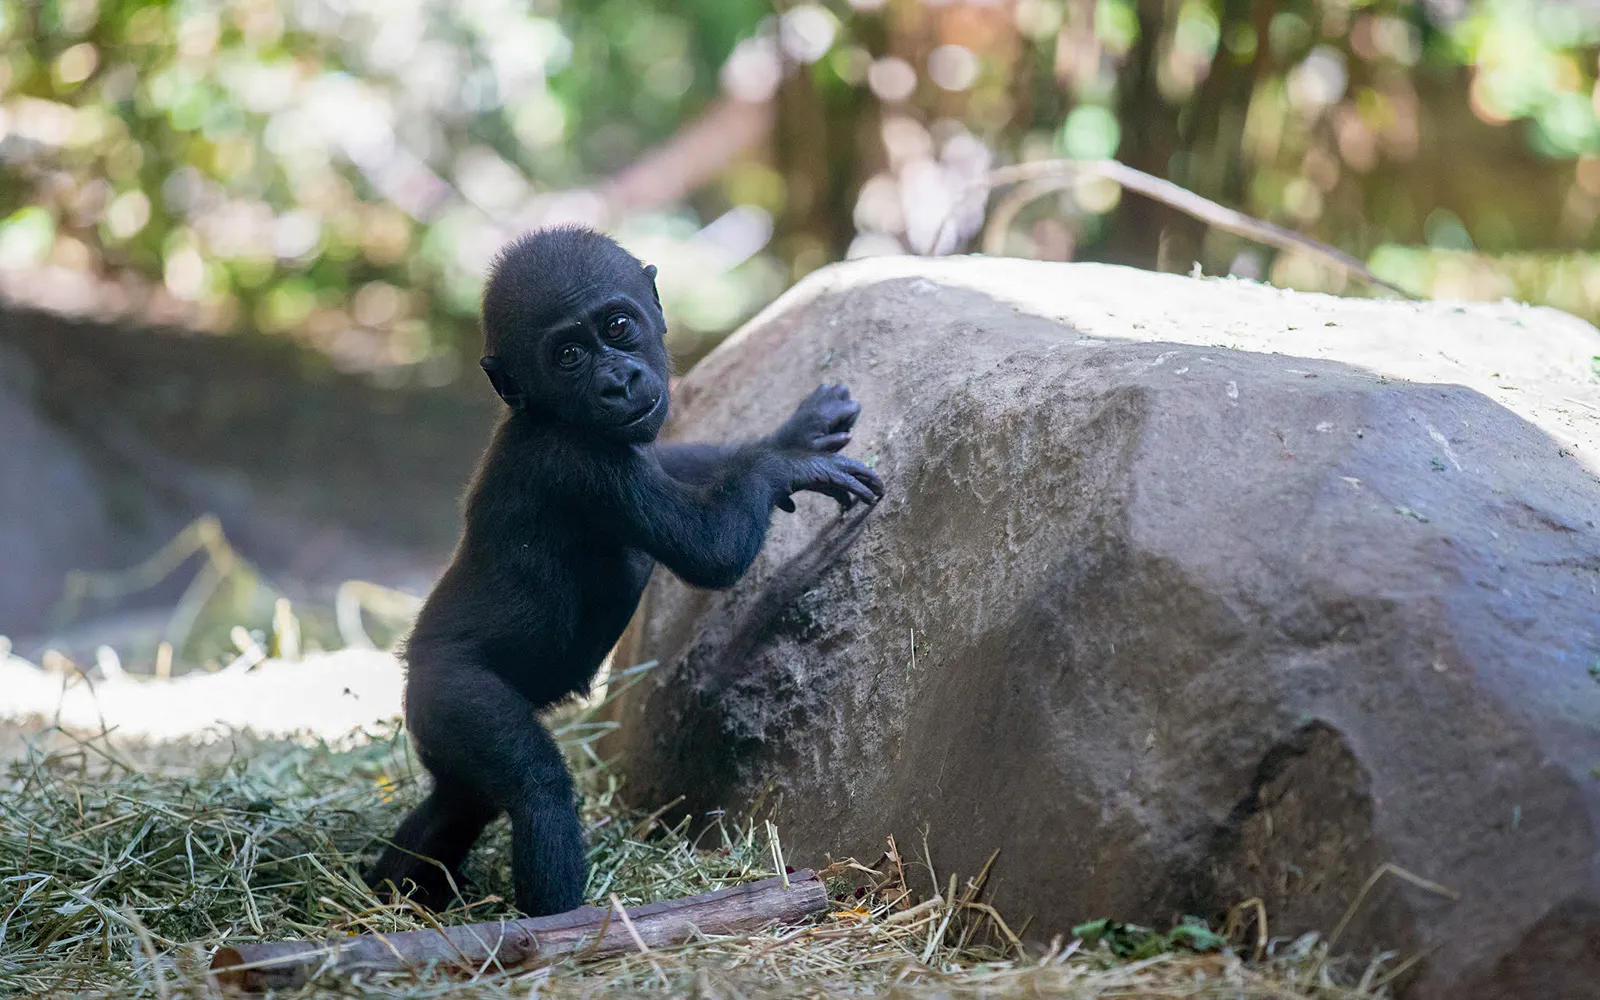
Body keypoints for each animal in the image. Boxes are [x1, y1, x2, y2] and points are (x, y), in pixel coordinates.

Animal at [367, 226, 883, 917]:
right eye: (567, 356)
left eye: (617, 326)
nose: (616, 379)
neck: (544, 414)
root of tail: (409, 664)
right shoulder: (583, 463)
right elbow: (709, 550)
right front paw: (787, 464)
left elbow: (683, 461)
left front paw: (792, 432)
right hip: (448, 691)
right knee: (534, 789)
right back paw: (561, 925)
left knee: (458, 800)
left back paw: (391, 894)